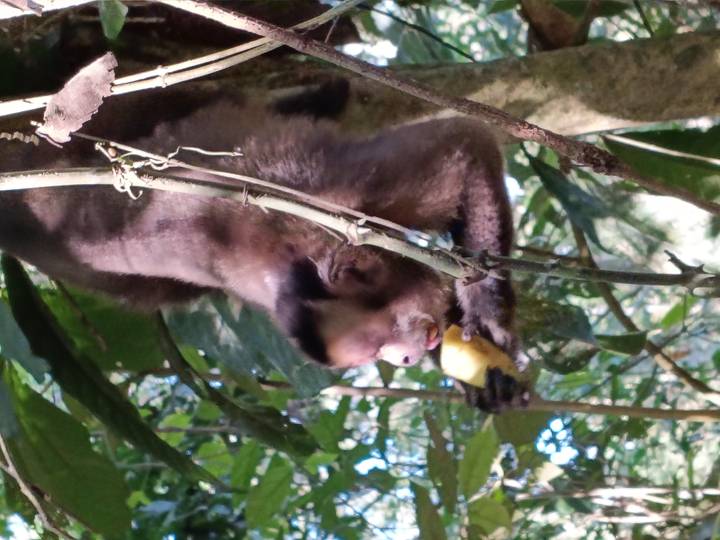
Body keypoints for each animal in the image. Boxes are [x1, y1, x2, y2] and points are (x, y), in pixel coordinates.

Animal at [0, 82, 520, 410]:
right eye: (375, 354)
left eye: (385, 344)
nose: (406, 358)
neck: (299, 257)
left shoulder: (335, 194)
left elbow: (462, 144)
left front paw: (486, 317)